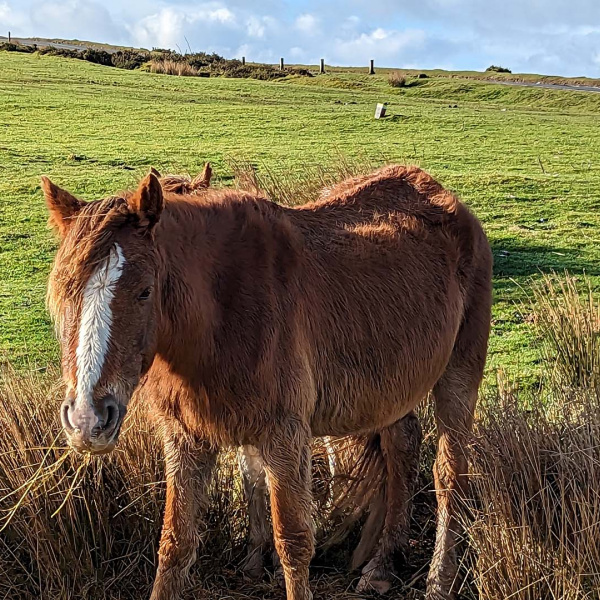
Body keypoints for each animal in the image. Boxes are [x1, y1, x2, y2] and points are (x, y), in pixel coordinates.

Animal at [43, 165, 492, 600]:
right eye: (63, 292)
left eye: (144, 292)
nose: (87, 419)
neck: (222, 314)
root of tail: (446, 199)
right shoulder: (187, 438)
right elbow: (176, 542)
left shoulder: (284, 435)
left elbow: (293, 542)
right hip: (392, 388)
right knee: (403, 446)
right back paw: (381, 566)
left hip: (458, 378)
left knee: (450, 475)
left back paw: (439, 581)